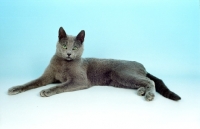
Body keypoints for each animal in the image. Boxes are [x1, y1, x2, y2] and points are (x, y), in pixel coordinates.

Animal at [7, 26, 180, 101]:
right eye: (64, 46)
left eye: (75, 48)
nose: (69, 53)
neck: (63, 63)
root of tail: (142, 65)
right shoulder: (47, 76)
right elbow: (31, 82)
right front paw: (15, 89)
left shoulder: (79, 80)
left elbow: (61, 85)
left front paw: (47, 91)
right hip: (121, 80)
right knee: (144, 81)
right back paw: (142, 91)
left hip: (123, 73)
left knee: (150, 81)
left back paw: (149, 94)